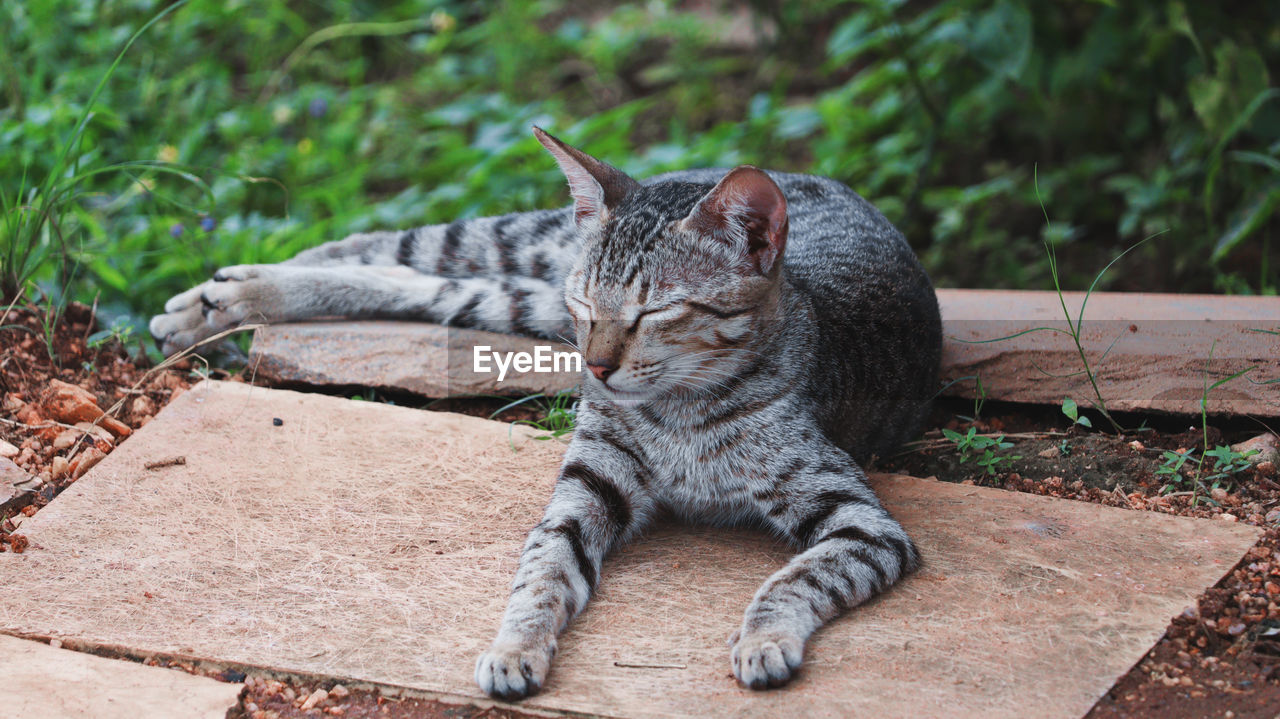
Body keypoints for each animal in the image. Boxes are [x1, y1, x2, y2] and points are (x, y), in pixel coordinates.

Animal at [154, 127, 947, 695]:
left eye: (655, 311)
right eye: (586, 303)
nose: (593, 364)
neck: (677, 414)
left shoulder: (862, 521)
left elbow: (796, 578)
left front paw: (763, 639)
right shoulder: (587, 484)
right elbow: (543, 569)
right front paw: (514, 645)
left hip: (513, 297)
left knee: (419, 281)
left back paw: (233, 295)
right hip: (529, 257)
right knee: (402, 244)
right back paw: (219, 288)